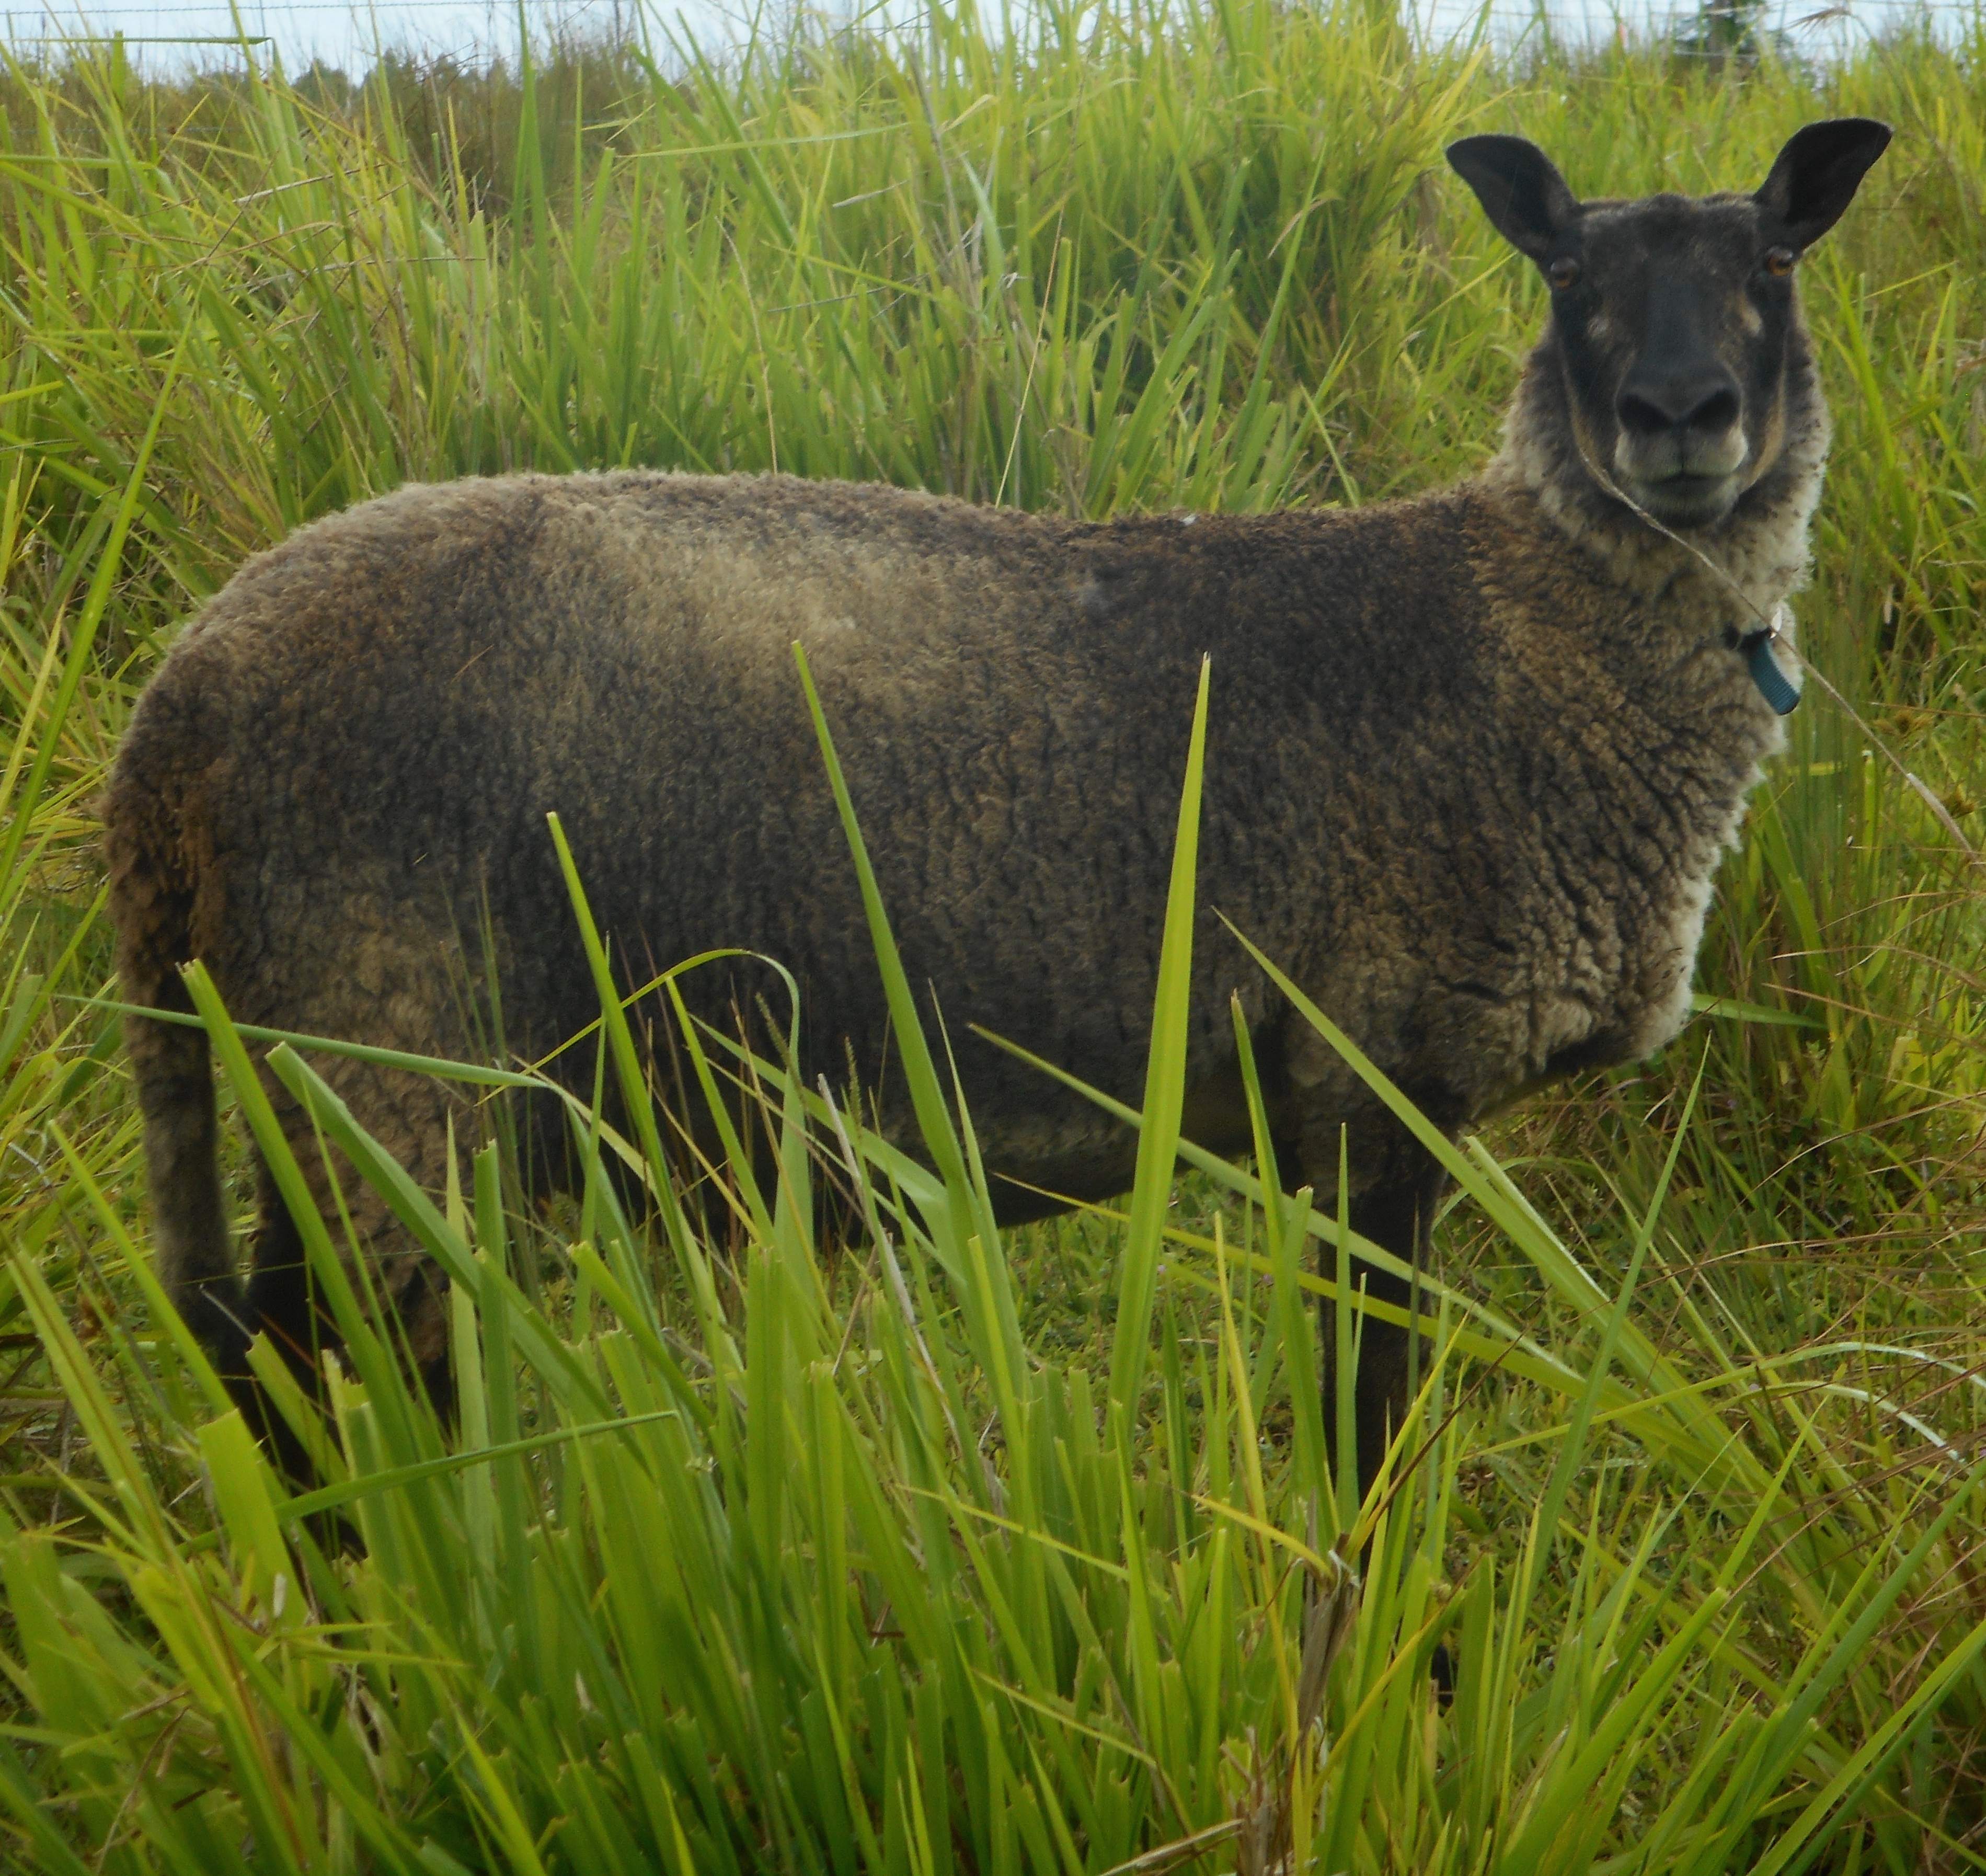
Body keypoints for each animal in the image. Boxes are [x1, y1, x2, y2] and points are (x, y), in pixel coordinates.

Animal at [108, 117, 1890, 1494]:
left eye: (1771, 265)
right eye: (1567, 279)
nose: (1677, 419)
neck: (1514, 631)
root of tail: (172, 710)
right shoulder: (1377, 1082)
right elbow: (1365, 1440)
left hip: (307, 1071)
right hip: (391, 1062)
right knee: (334, 1388)